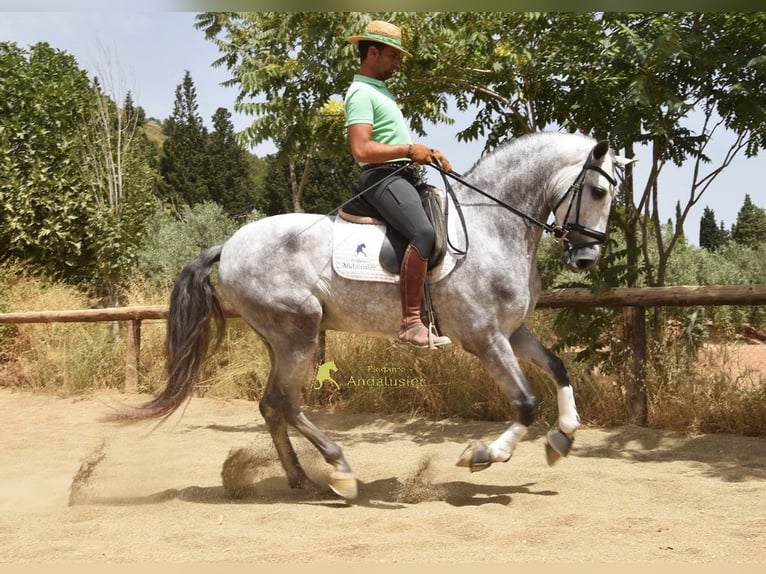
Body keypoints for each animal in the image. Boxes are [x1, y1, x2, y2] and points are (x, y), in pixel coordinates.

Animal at [108, 132, 630, 501]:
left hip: (283, 338)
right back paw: (340, 472)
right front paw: (483, 454)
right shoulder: (485, 337)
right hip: (298, 333)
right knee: (285, 403)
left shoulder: (512, 330)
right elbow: (524, 403)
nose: (585, 258)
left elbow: (559, 368)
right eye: (597, 191)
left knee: (272, 406)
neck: (493, 227)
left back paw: (300, 478)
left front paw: (563, 438)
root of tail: (230, 245)